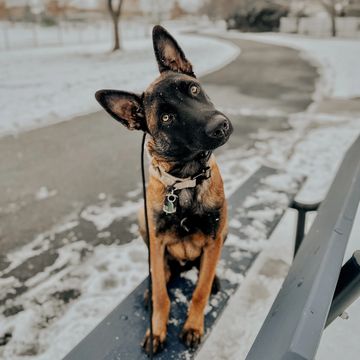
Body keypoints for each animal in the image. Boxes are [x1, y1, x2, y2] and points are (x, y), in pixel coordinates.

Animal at [95, 26, 231, 354]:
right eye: (167, 118)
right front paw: (157, 329)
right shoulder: (157, 243)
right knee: (161, 274)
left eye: (193, 90)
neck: (184, 182)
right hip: (141, 219)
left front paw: (193, 326)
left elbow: (199, 291)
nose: (220, 125)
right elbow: (161, 293)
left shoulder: (213, 239)